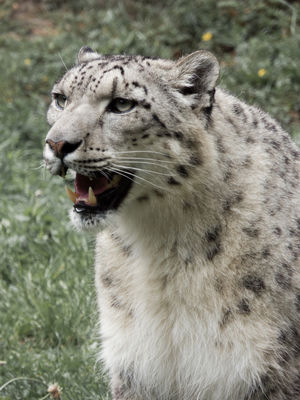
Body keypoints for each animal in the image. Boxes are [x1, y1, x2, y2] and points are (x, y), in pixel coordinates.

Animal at [42, 47, 300, 400]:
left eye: (121, 104)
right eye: (60, 98)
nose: (57, 144)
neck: (162, 247)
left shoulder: (266, 368)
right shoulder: (136, 364)